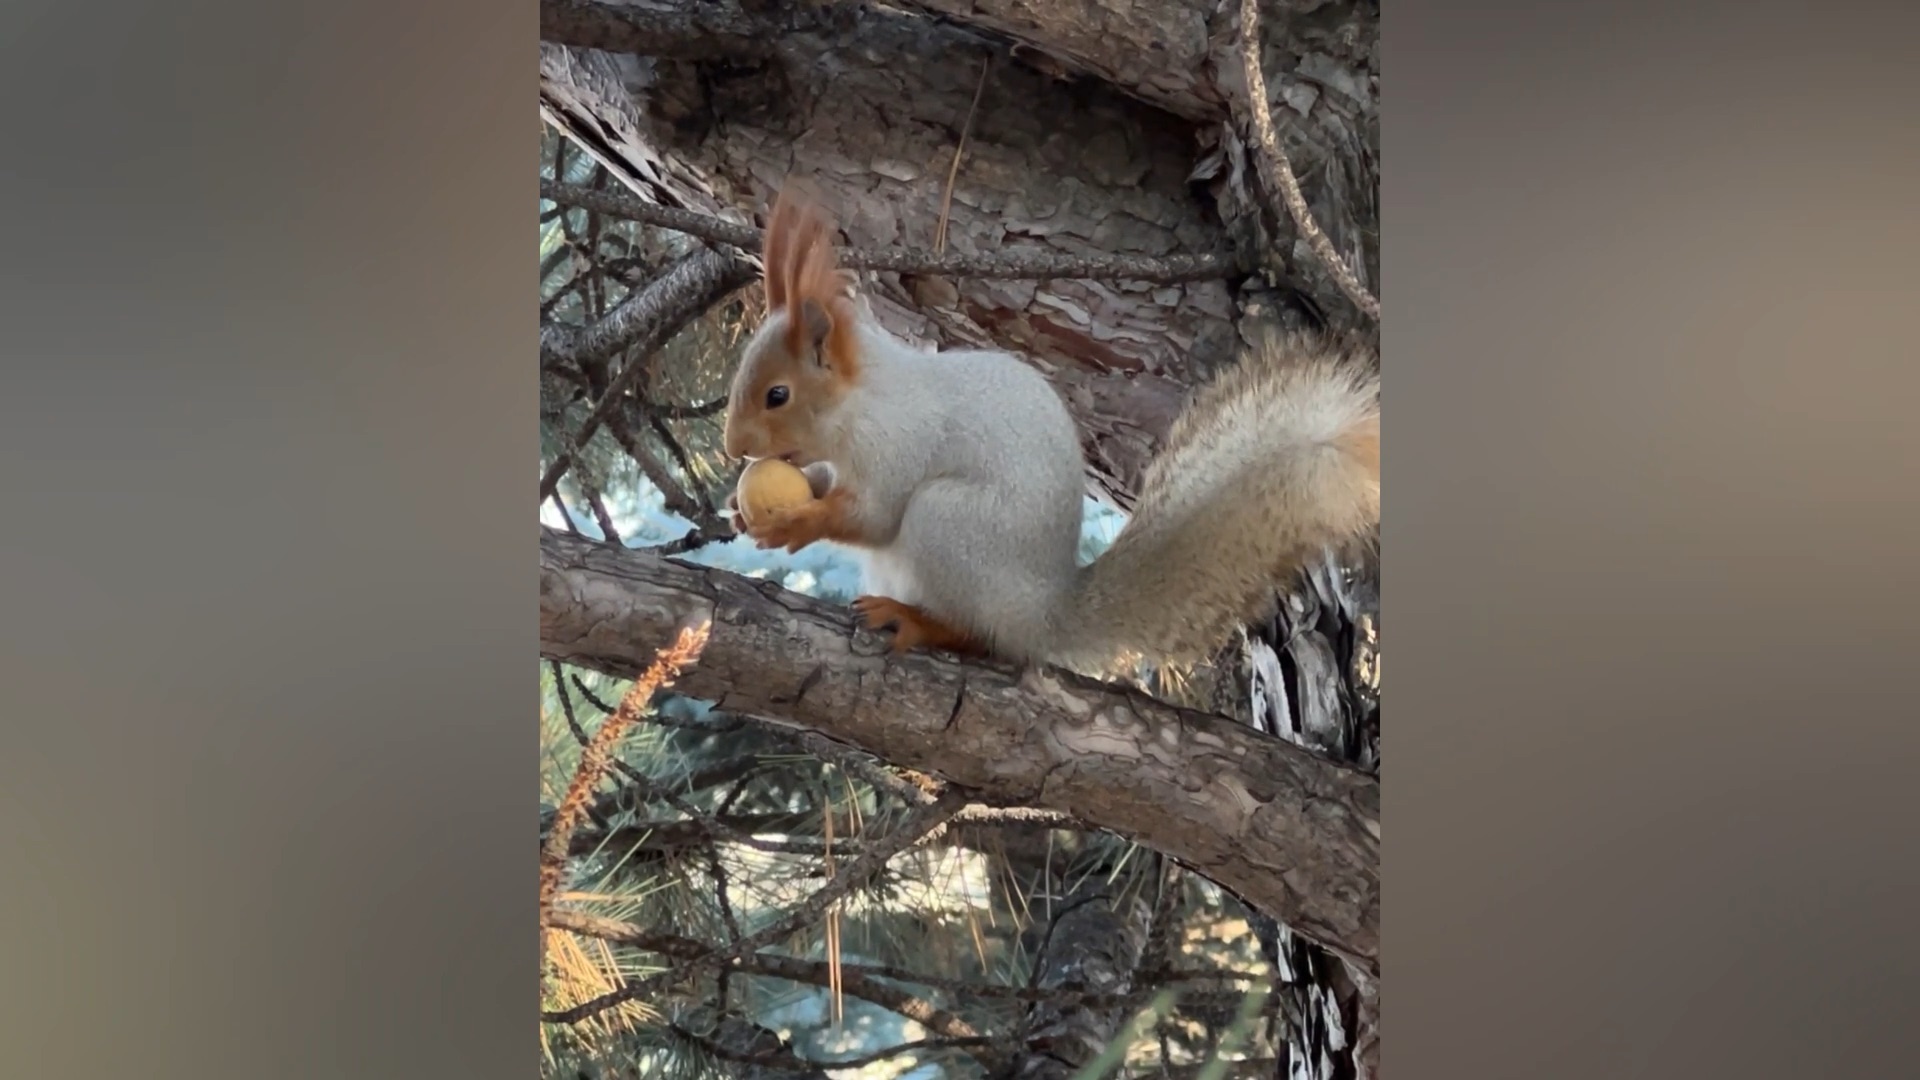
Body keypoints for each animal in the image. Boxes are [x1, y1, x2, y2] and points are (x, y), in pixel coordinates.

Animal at [721, 189, 1382, 668]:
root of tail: (1046, 613)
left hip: (949, 524)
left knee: (985, 637)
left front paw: (795, 522)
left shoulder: (897, 443)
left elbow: (872, 517)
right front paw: (743, 512)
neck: (859, 403)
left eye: (777, 395)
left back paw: (918, 622)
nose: (734, 448)